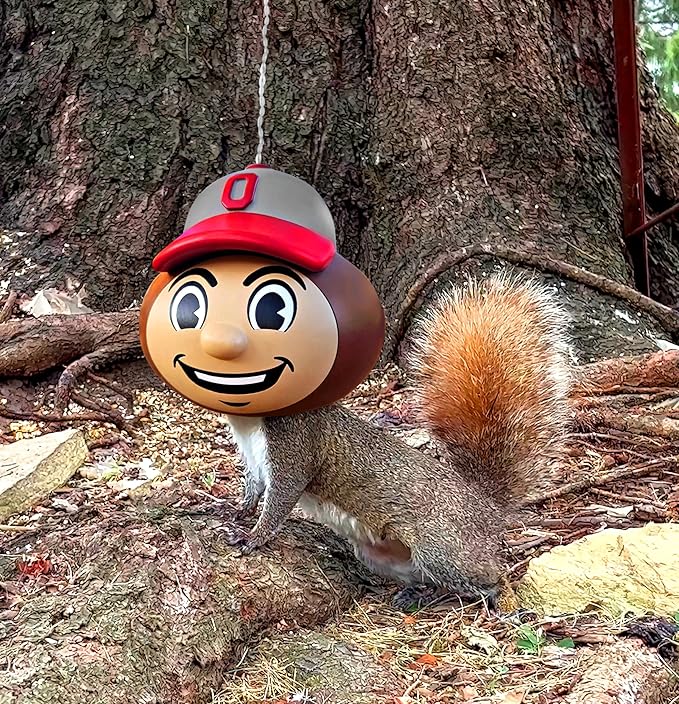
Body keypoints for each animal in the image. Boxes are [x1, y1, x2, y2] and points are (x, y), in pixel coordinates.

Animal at [223, 274, 571, 606]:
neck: (248, 424)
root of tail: (485, 505)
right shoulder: (253, 456)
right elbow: (254, 486)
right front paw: (236, 510)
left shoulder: (295, 443)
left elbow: (282, 495)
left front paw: (254, 537)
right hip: (384, 556)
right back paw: (419, 593)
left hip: (442, 549)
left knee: (489, 576)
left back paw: (487, 595)